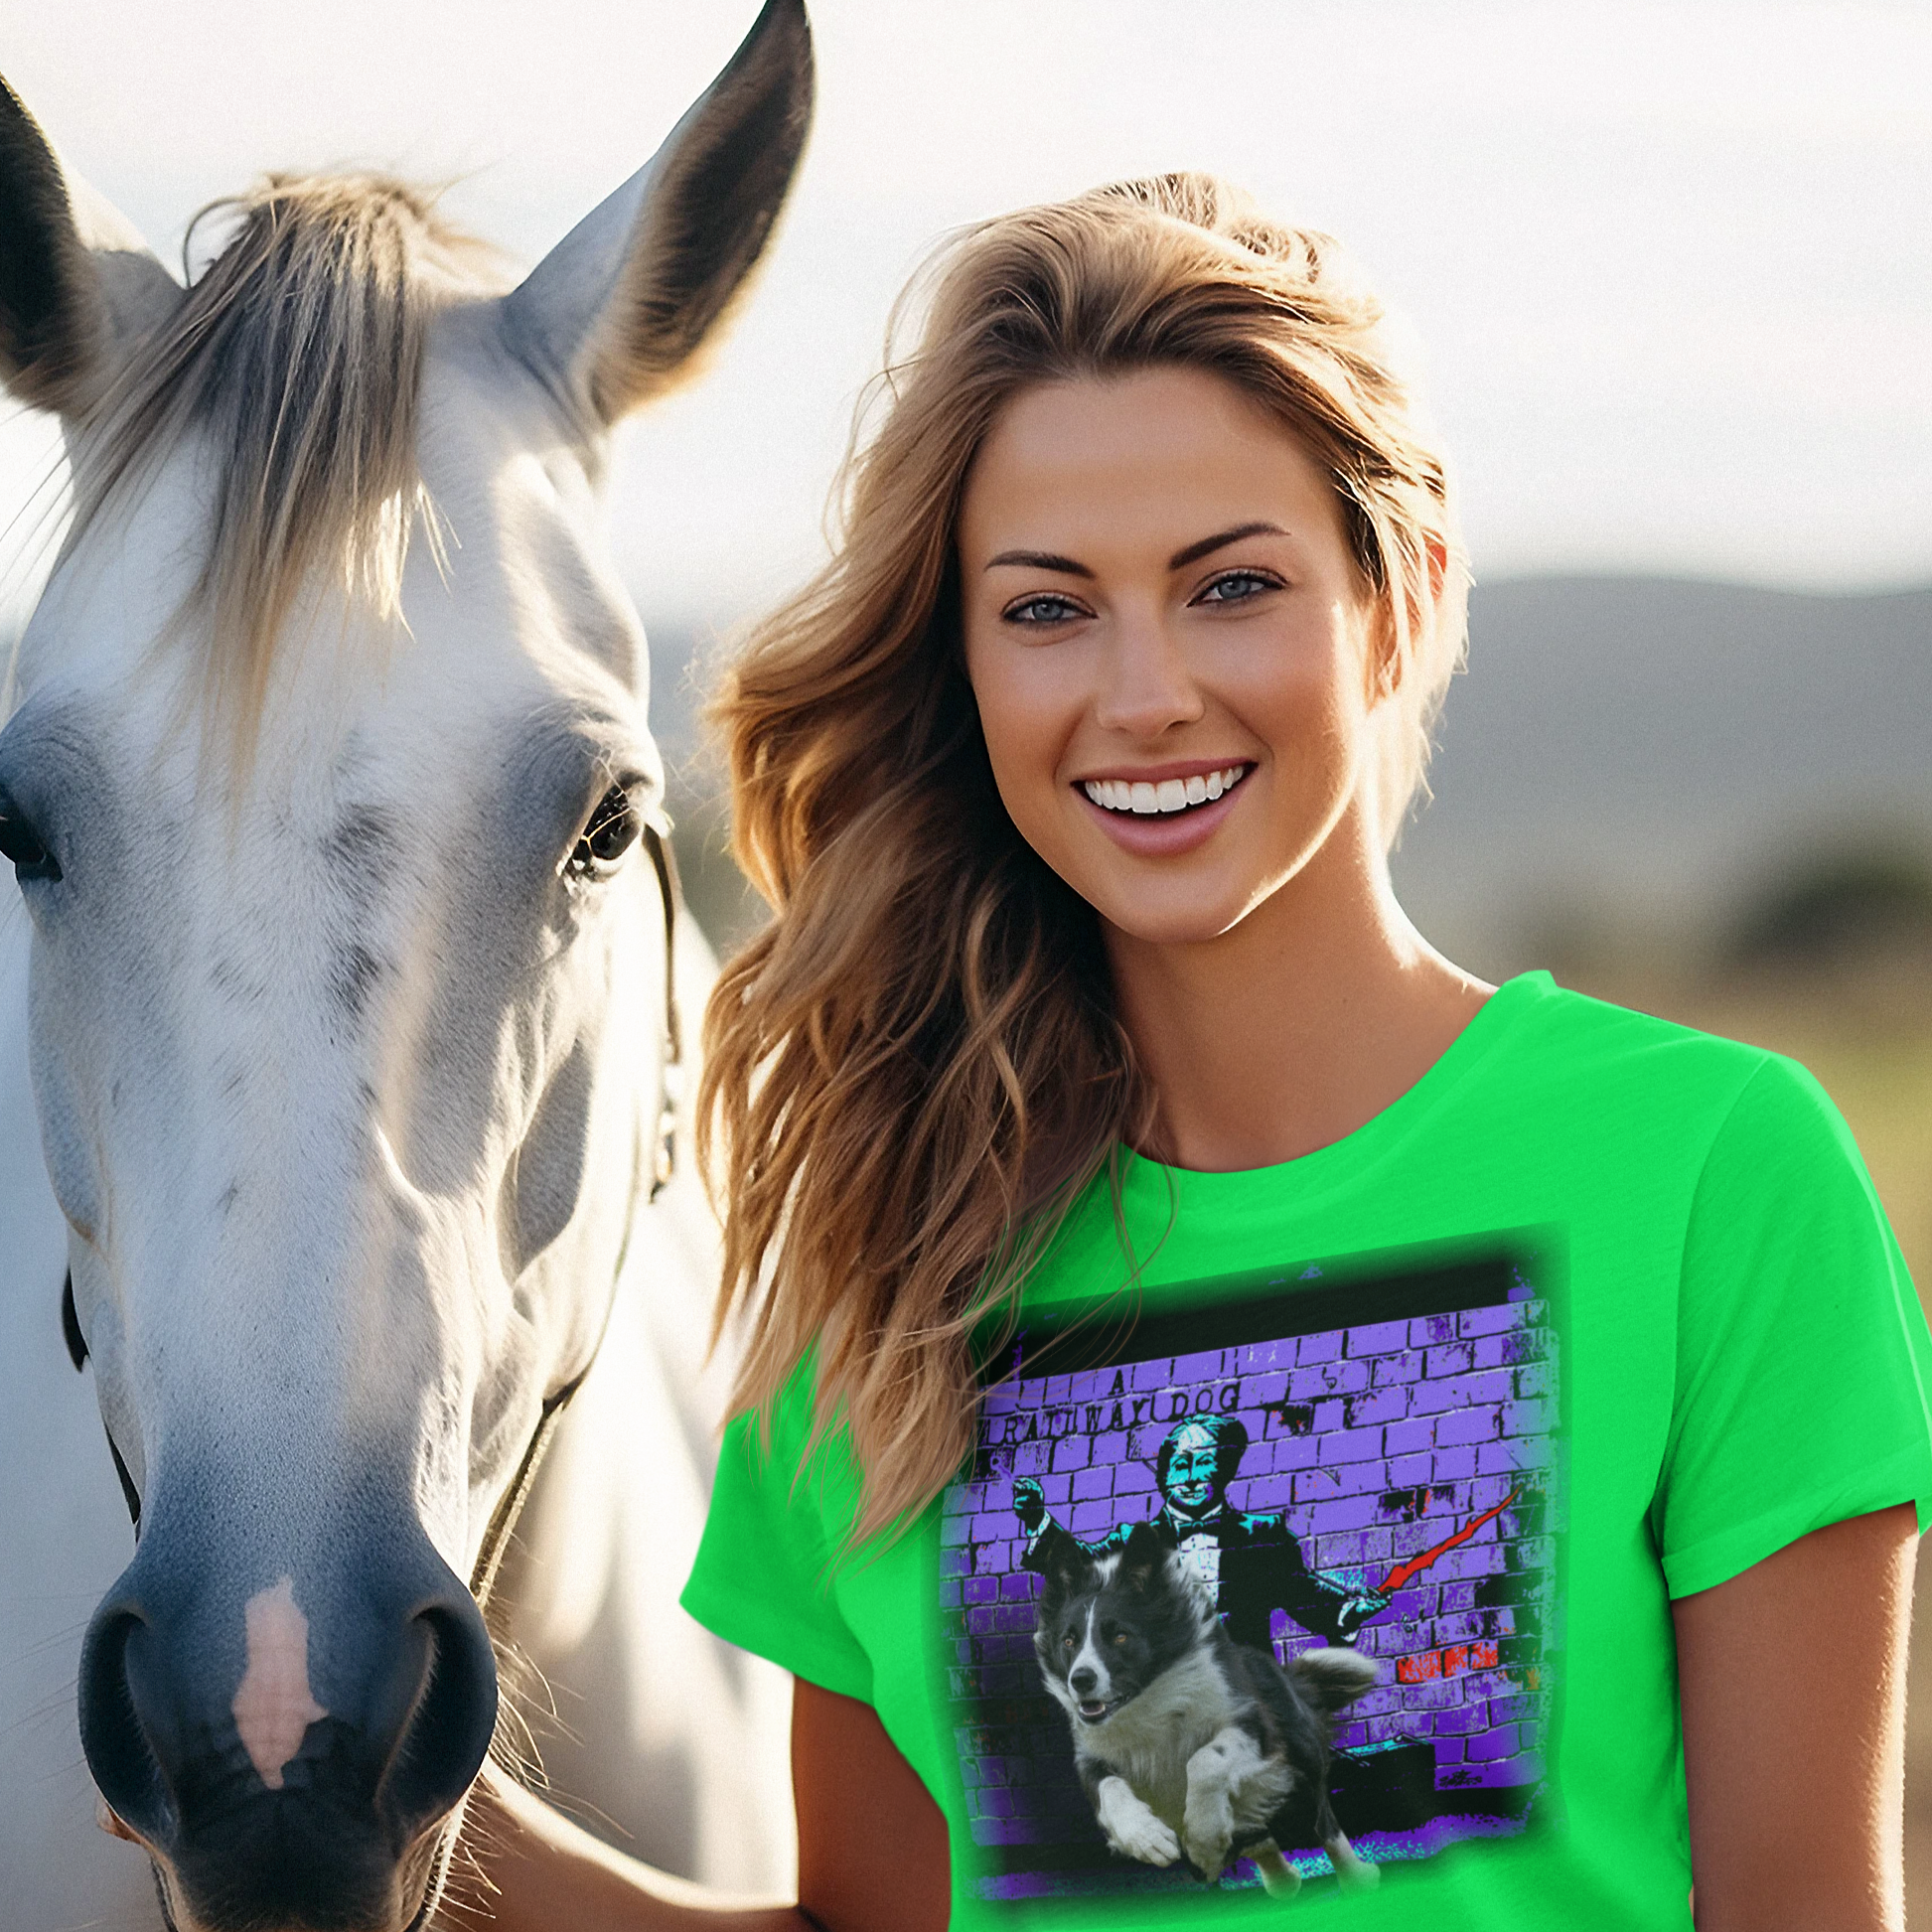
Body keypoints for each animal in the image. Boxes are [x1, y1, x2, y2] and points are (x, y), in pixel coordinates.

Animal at [1035, 1514, 1383, 1893]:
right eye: (1069, 1640)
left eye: (1120, 1636)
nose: (1080, 1680)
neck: (1149, 1703)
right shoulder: (1093, 1753)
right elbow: (1107, 1788)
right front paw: (1147, 1838)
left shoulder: (1252, 1721)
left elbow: (1204, 1760)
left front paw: (1202, 1838)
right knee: (1259, 1839)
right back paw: (1279, 1878)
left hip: (1298, 1769)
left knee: (1322, 1824)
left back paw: (1358, 1876)